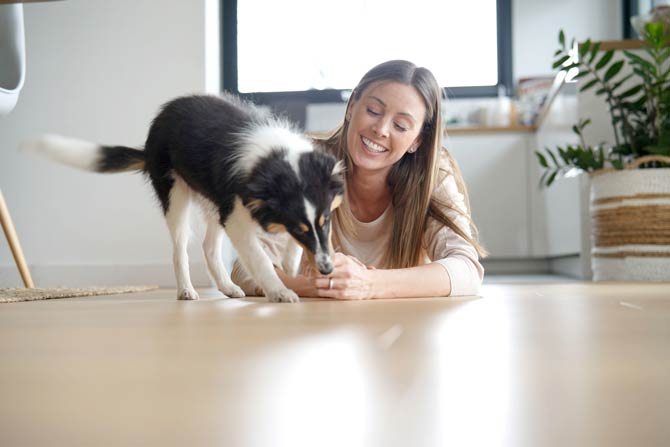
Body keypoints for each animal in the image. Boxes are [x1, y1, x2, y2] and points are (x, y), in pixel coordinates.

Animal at [23, 94, 344, 304]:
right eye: (301, 228)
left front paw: (291, 271)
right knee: (180, 250)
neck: (274, 160)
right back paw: (186, 290)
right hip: (175, 193)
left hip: (212, 201)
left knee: (209, 247)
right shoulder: (237, 217)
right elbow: (261, 259)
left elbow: (291, 249)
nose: (327, 269)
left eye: (326, 221)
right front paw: (281, 291)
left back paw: (227, 287)